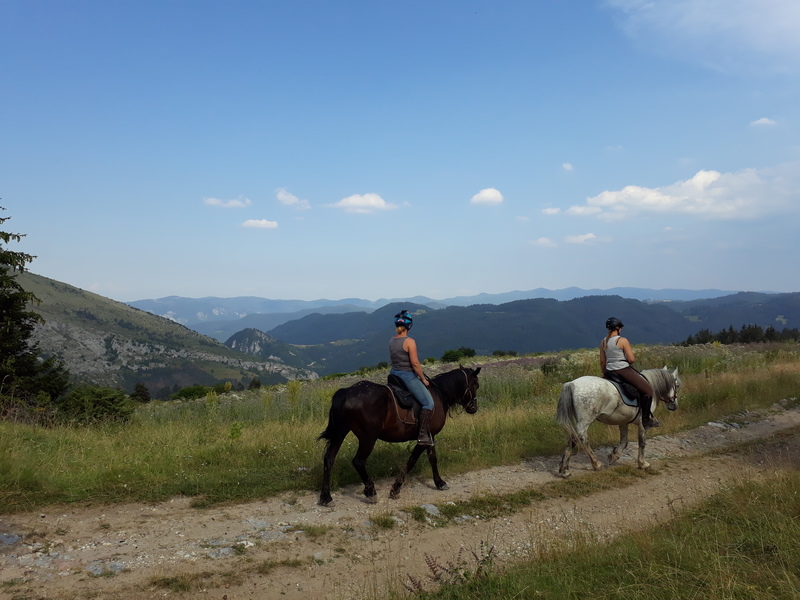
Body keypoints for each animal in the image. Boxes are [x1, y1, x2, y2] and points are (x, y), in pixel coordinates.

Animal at [318, 366, 482, 506]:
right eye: (476, 385)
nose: (473, 408)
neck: (439, 394)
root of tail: (347, 392)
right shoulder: (424, 438)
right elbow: (412, 461)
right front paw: (396, 488)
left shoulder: (430, 436)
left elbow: (432, 459)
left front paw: (439, 482)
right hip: (368, 438)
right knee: (358, 461)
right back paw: (370, 492)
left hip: (340, 433)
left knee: (329, 459)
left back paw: (326, 497)